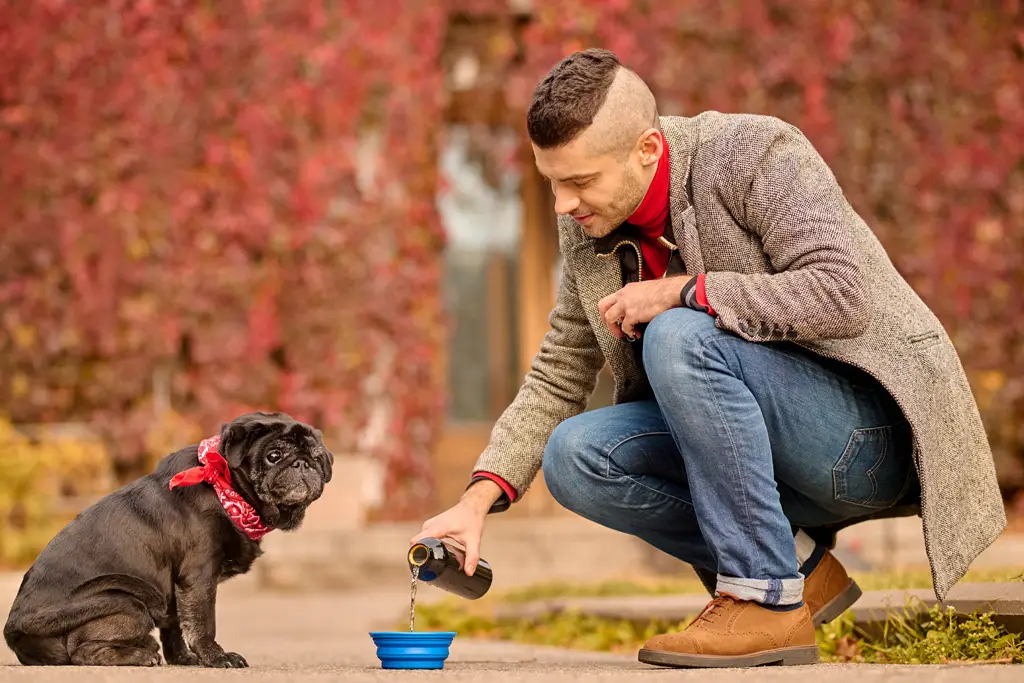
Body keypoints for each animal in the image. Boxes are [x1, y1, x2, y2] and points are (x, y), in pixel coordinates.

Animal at [3, 411, 331, 667]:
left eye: (317, 458)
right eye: (274, 456)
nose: (303, 463)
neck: (224, 485)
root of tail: (15, 634)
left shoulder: (175, 587)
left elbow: (175, 626)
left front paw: (183, 658)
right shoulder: (199, 576)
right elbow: (203, 622)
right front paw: (216, 658)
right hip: (128, 601)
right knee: (82, 653)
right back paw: (140, 656)